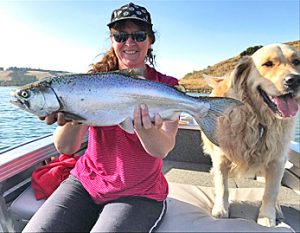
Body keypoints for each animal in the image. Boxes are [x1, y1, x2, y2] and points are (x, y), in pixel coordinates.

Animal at [202, 42, 300, 227]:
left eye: (297, 61)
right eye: (268, 64)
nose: (295, 80)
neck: (258, 120)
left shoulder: (277, 160)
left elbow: (271, 191)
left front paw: (267, 216)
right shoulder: (221, 156)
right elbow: (223, 186)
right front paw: (221, 209)